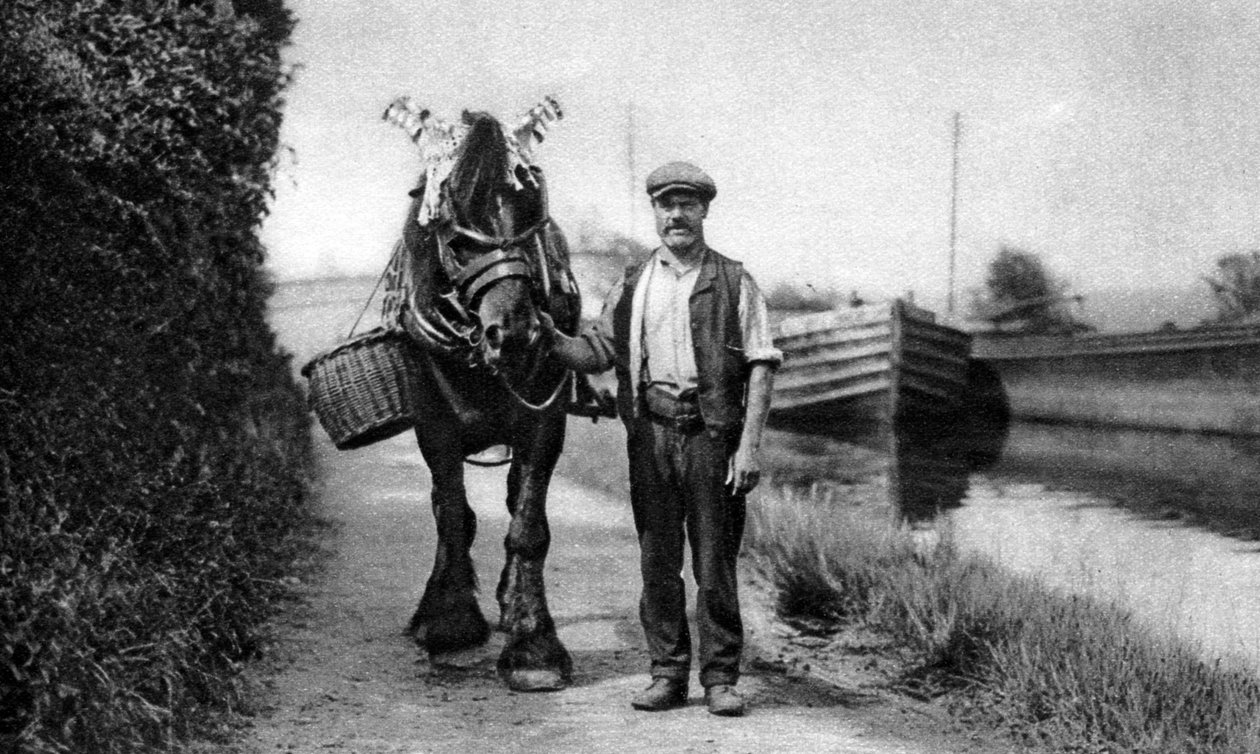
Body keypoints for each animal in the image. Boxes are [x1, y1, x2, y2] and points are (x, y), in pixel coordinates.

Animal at [380, 103, 582, 696]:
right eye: (457, 238)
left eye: (533, 217)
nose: (514, 335)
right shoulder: (433, 425)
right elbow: (452, 514)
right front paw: (448, 620)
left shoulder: (546, 421)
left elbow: (528, 526)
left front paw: (533, 644)